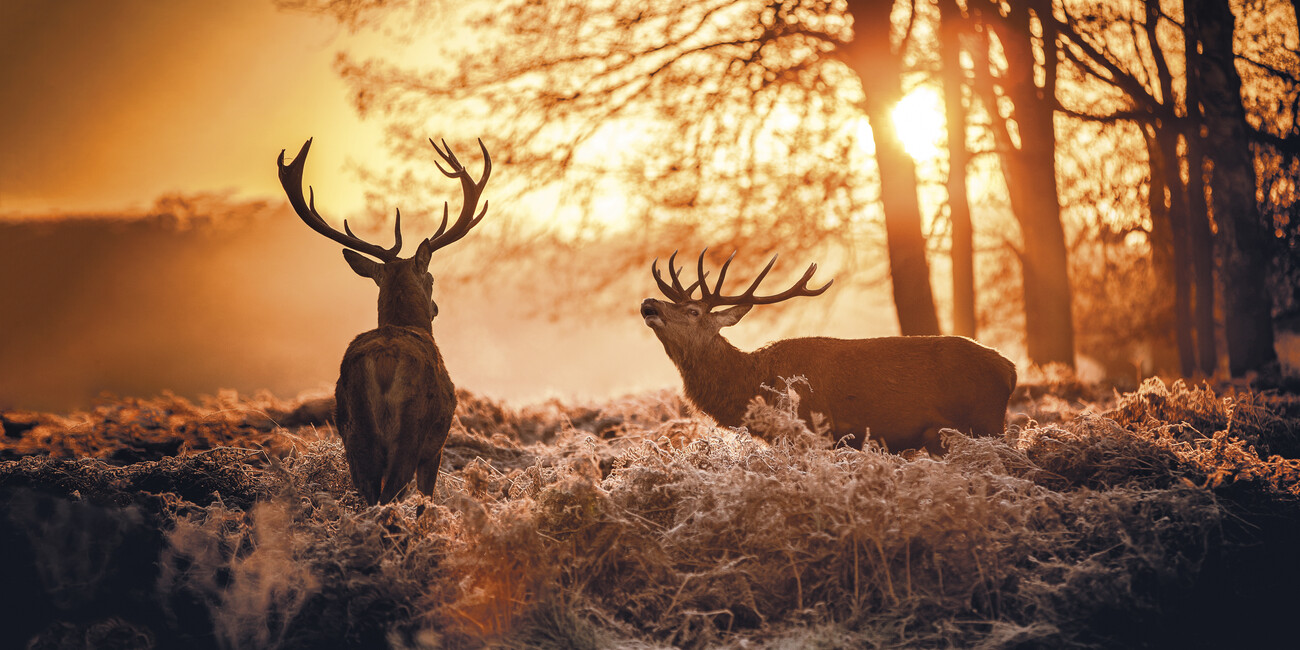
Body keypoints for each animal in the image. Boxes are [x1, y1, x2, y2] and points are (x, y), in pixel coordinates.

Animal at [277, 137, 490, 504]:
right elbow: (426, 499)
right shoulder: (436, 447)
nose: (435, 308)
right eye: (431, 278)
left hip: (354, 431)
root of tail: (384, 361)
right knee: (390, 494)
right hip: (411, 430)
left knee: (367, 494)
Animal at [640, 250, 1017, 455]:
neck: (756, 384)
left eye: (694, 311)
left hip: (986, 422)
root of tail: (1010, 369)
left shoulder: (813, 431)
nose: (648, 304)